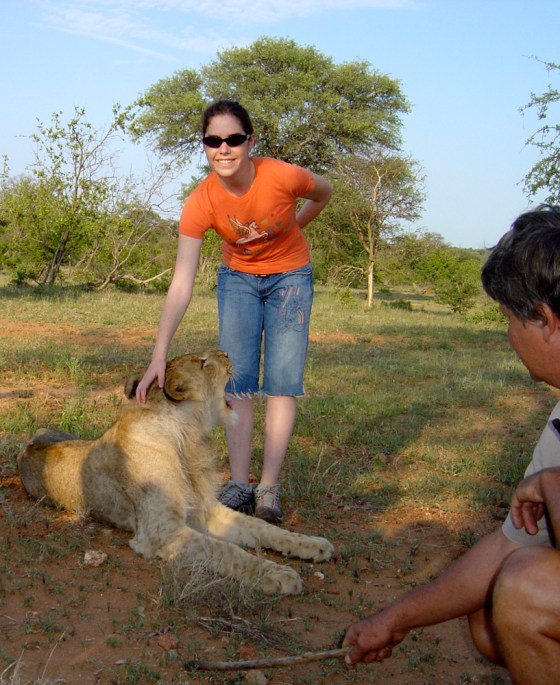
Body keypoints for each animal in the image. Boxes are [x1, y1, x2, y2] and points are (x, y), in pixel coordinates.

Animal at [18, 350, 334, 595]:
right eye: (204, 363)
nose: (228, 353)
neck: (186, 437)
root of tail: (28, 444)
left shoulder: (206, 510)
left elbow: (263, 528)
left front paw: (314, 545)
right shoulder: (163, 531)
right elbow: (227, 551)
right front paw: (280, 575)